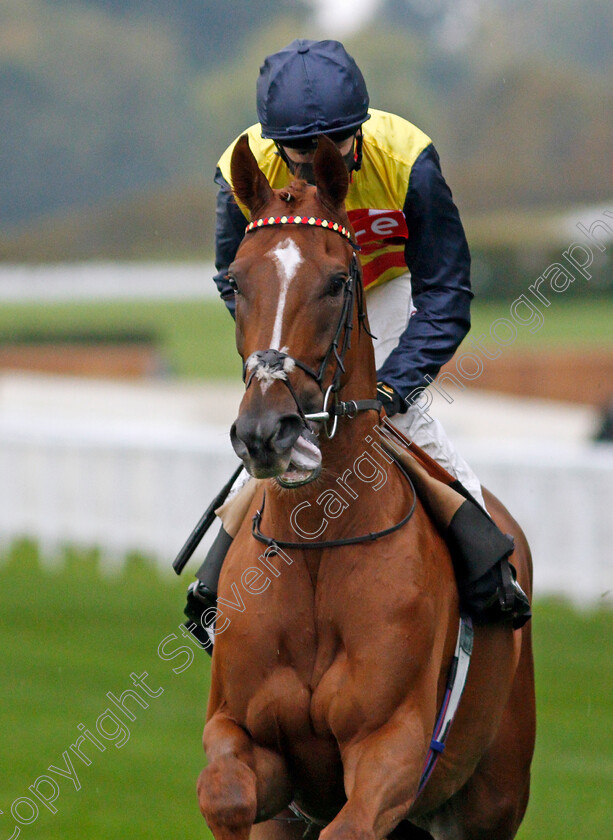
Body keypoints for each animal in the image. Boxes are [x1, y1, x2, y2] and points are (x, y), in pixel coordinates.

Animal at [197, 135, 536, 840]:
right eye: (234, 281)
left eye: (335, 281)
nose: (266, 431)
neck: (316, 545)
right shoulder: (244, 734)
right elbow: (227, 795)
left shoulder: (393, 746)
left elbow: (351, 823)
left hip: (494, 794)